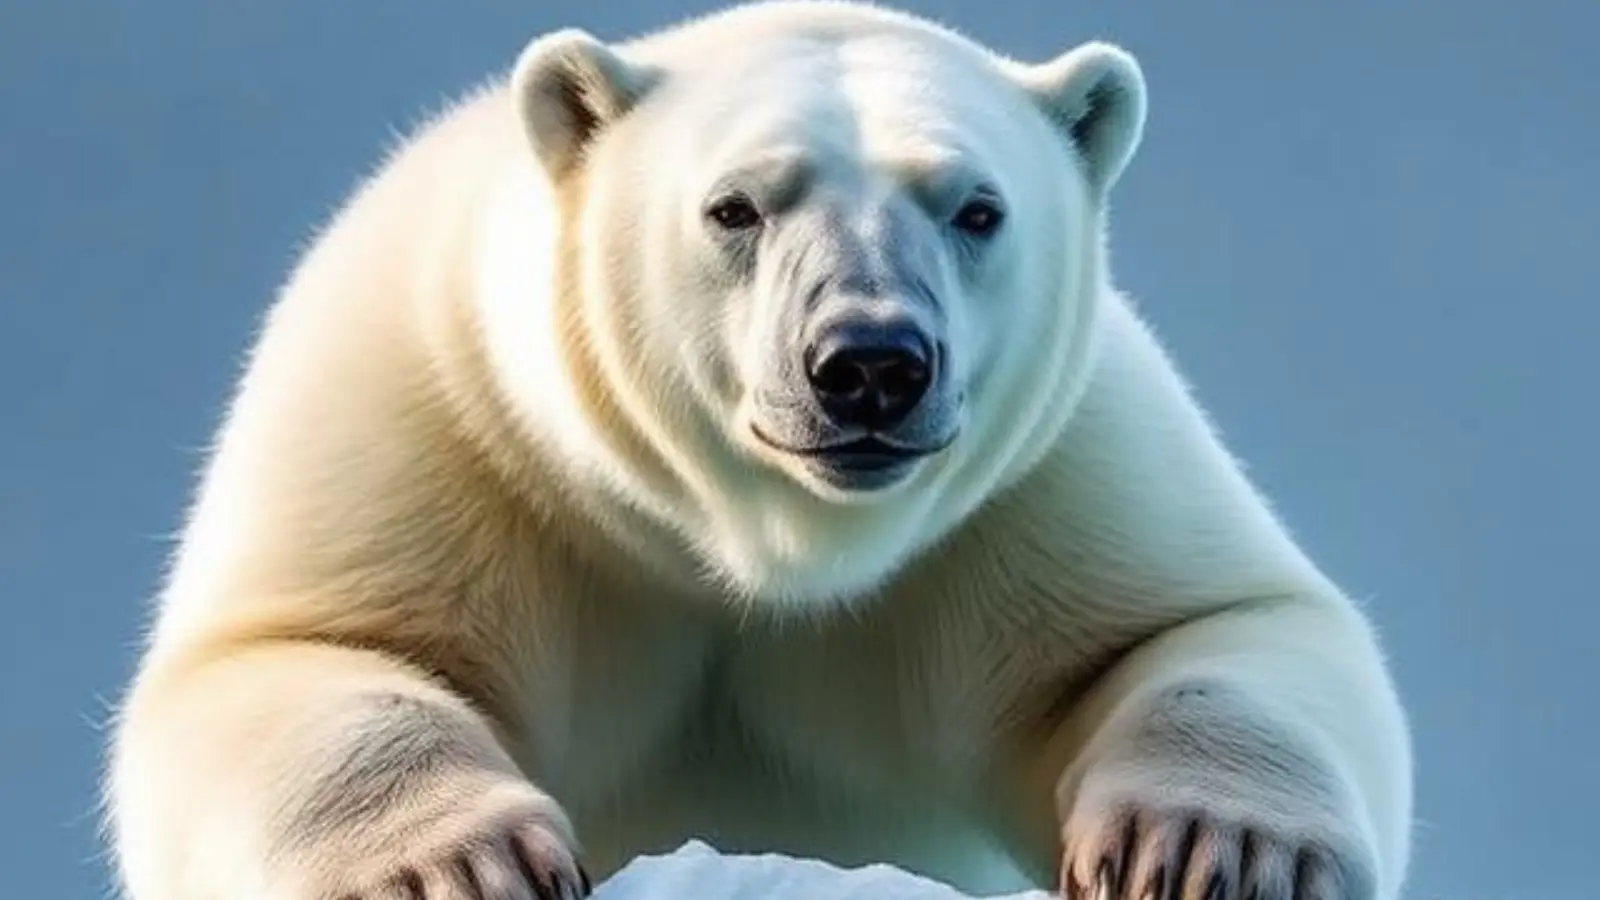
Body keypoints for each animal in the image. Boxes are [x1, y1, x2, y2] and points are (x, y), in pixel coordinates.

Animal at [105, 2, 1414, 899]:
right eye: (735, 206)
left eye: (975, 208)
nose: (872, 362)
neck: (751, 542)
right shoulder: (441, 421)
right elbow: (291, 649)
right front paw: (458, 868)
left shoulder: (1039, 482)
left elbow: (1201, 624)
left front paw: (1211, 849)